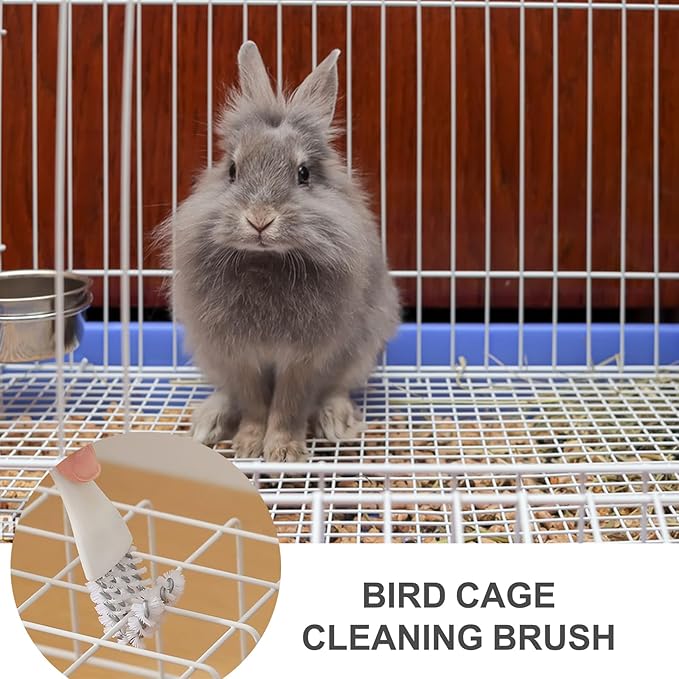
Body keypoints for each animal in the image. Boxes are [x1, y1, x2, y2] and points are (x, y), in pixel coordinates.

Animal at [164, 41, 400, 462]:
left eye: (303, 173)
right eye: (232, 170)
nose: (259, 220)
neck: (266, 260)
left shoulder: (304, 358)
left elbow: (289, 404)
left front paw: (284, 451)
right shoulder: (240, 356)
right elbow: (255, 403)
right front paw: (247, 447)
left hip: (360, 352)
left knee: (334, 390)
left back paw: (336, 422)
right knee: (230, 394)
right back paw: (208, 422)